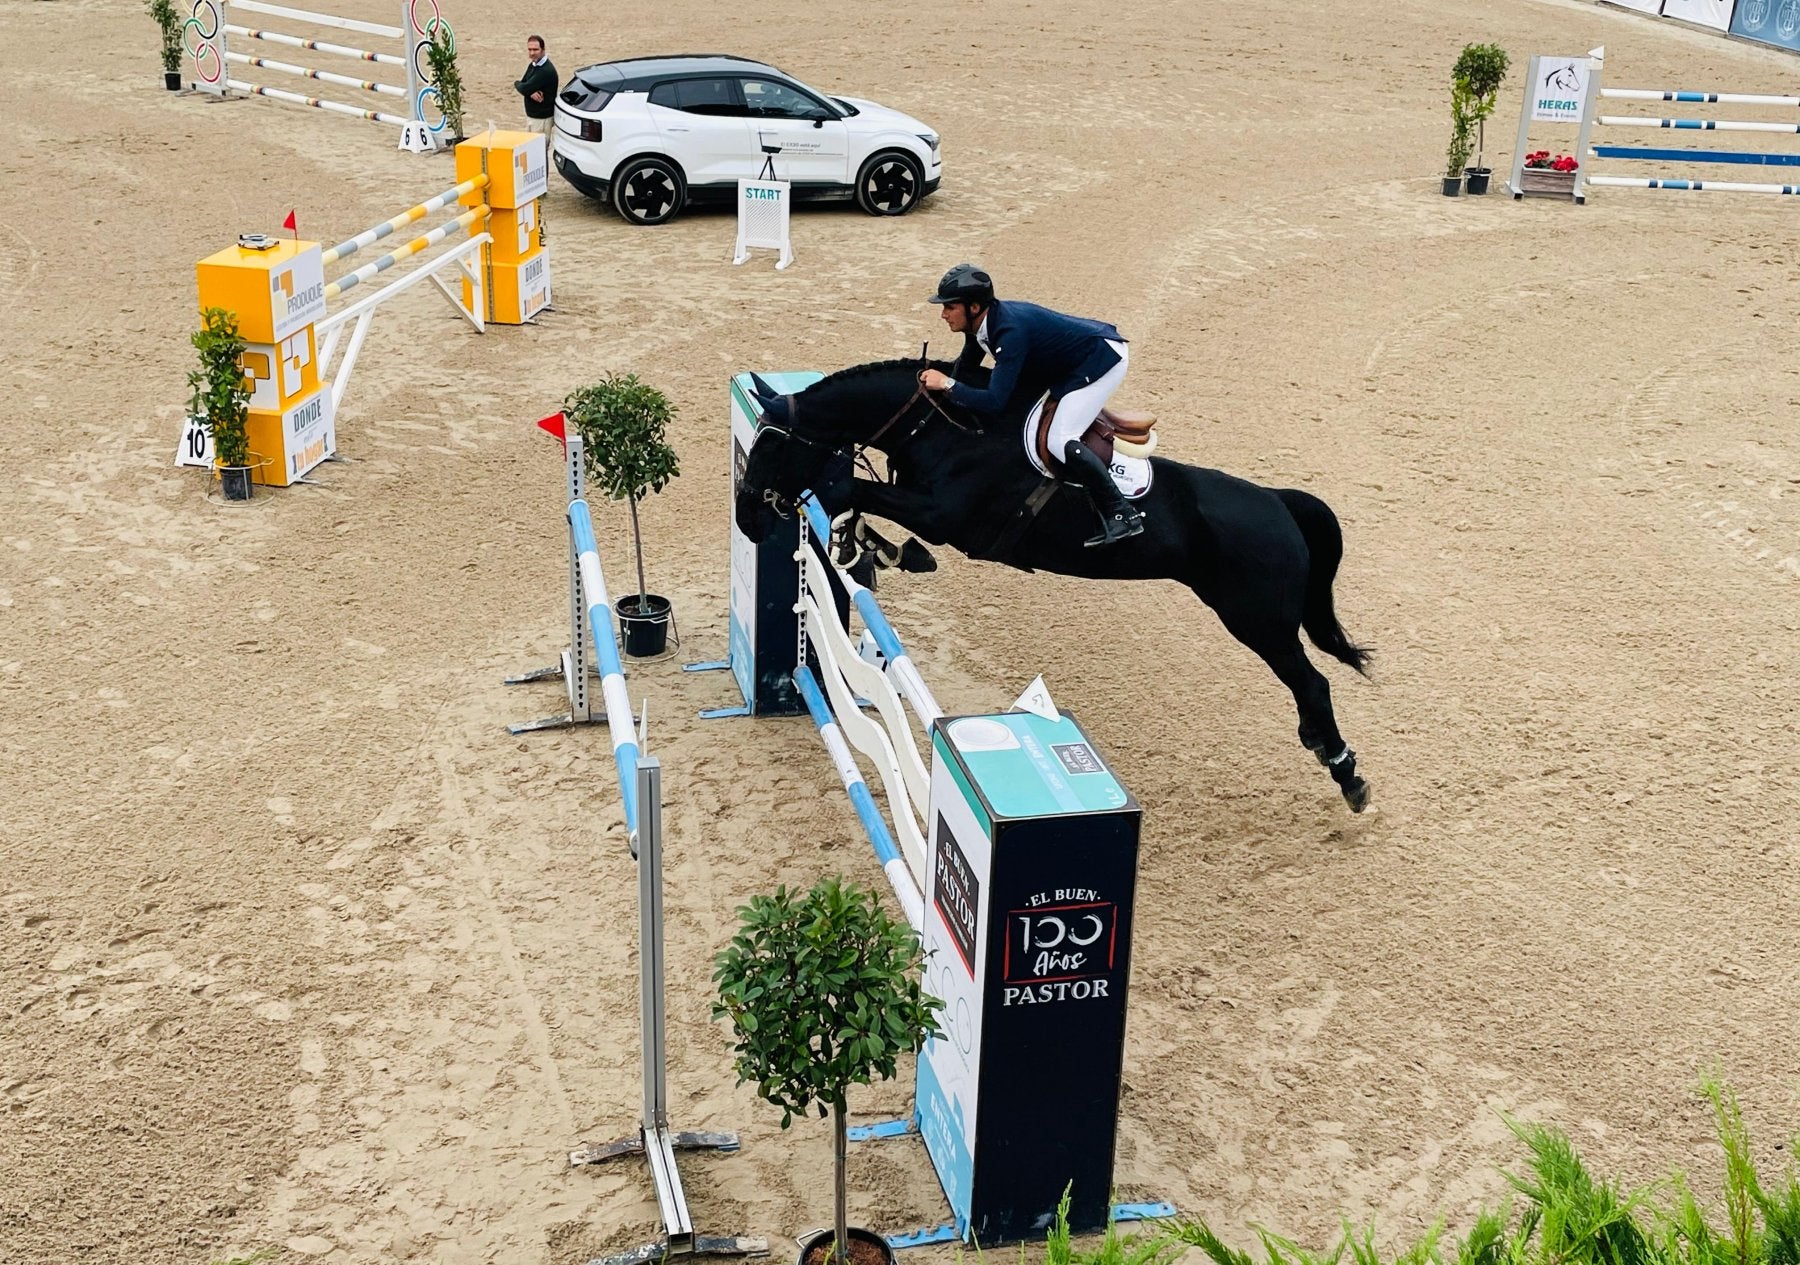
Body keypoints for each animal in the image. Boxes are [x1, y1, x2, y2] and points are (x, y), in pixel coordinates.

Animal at [730, 358, 1375, 813]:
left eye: (772, 444)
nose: (749, 519)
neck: (941, 427)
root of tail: (1278, 503)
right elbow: (856, 497)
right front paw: (866, 547)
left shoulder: (945, 515)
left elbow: (850, 489)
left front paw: (881, 547)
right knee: (1304, 685)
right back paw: (1319, 743)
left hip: (1257, 620)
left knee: (1311, 682)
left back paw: (1347, 774)